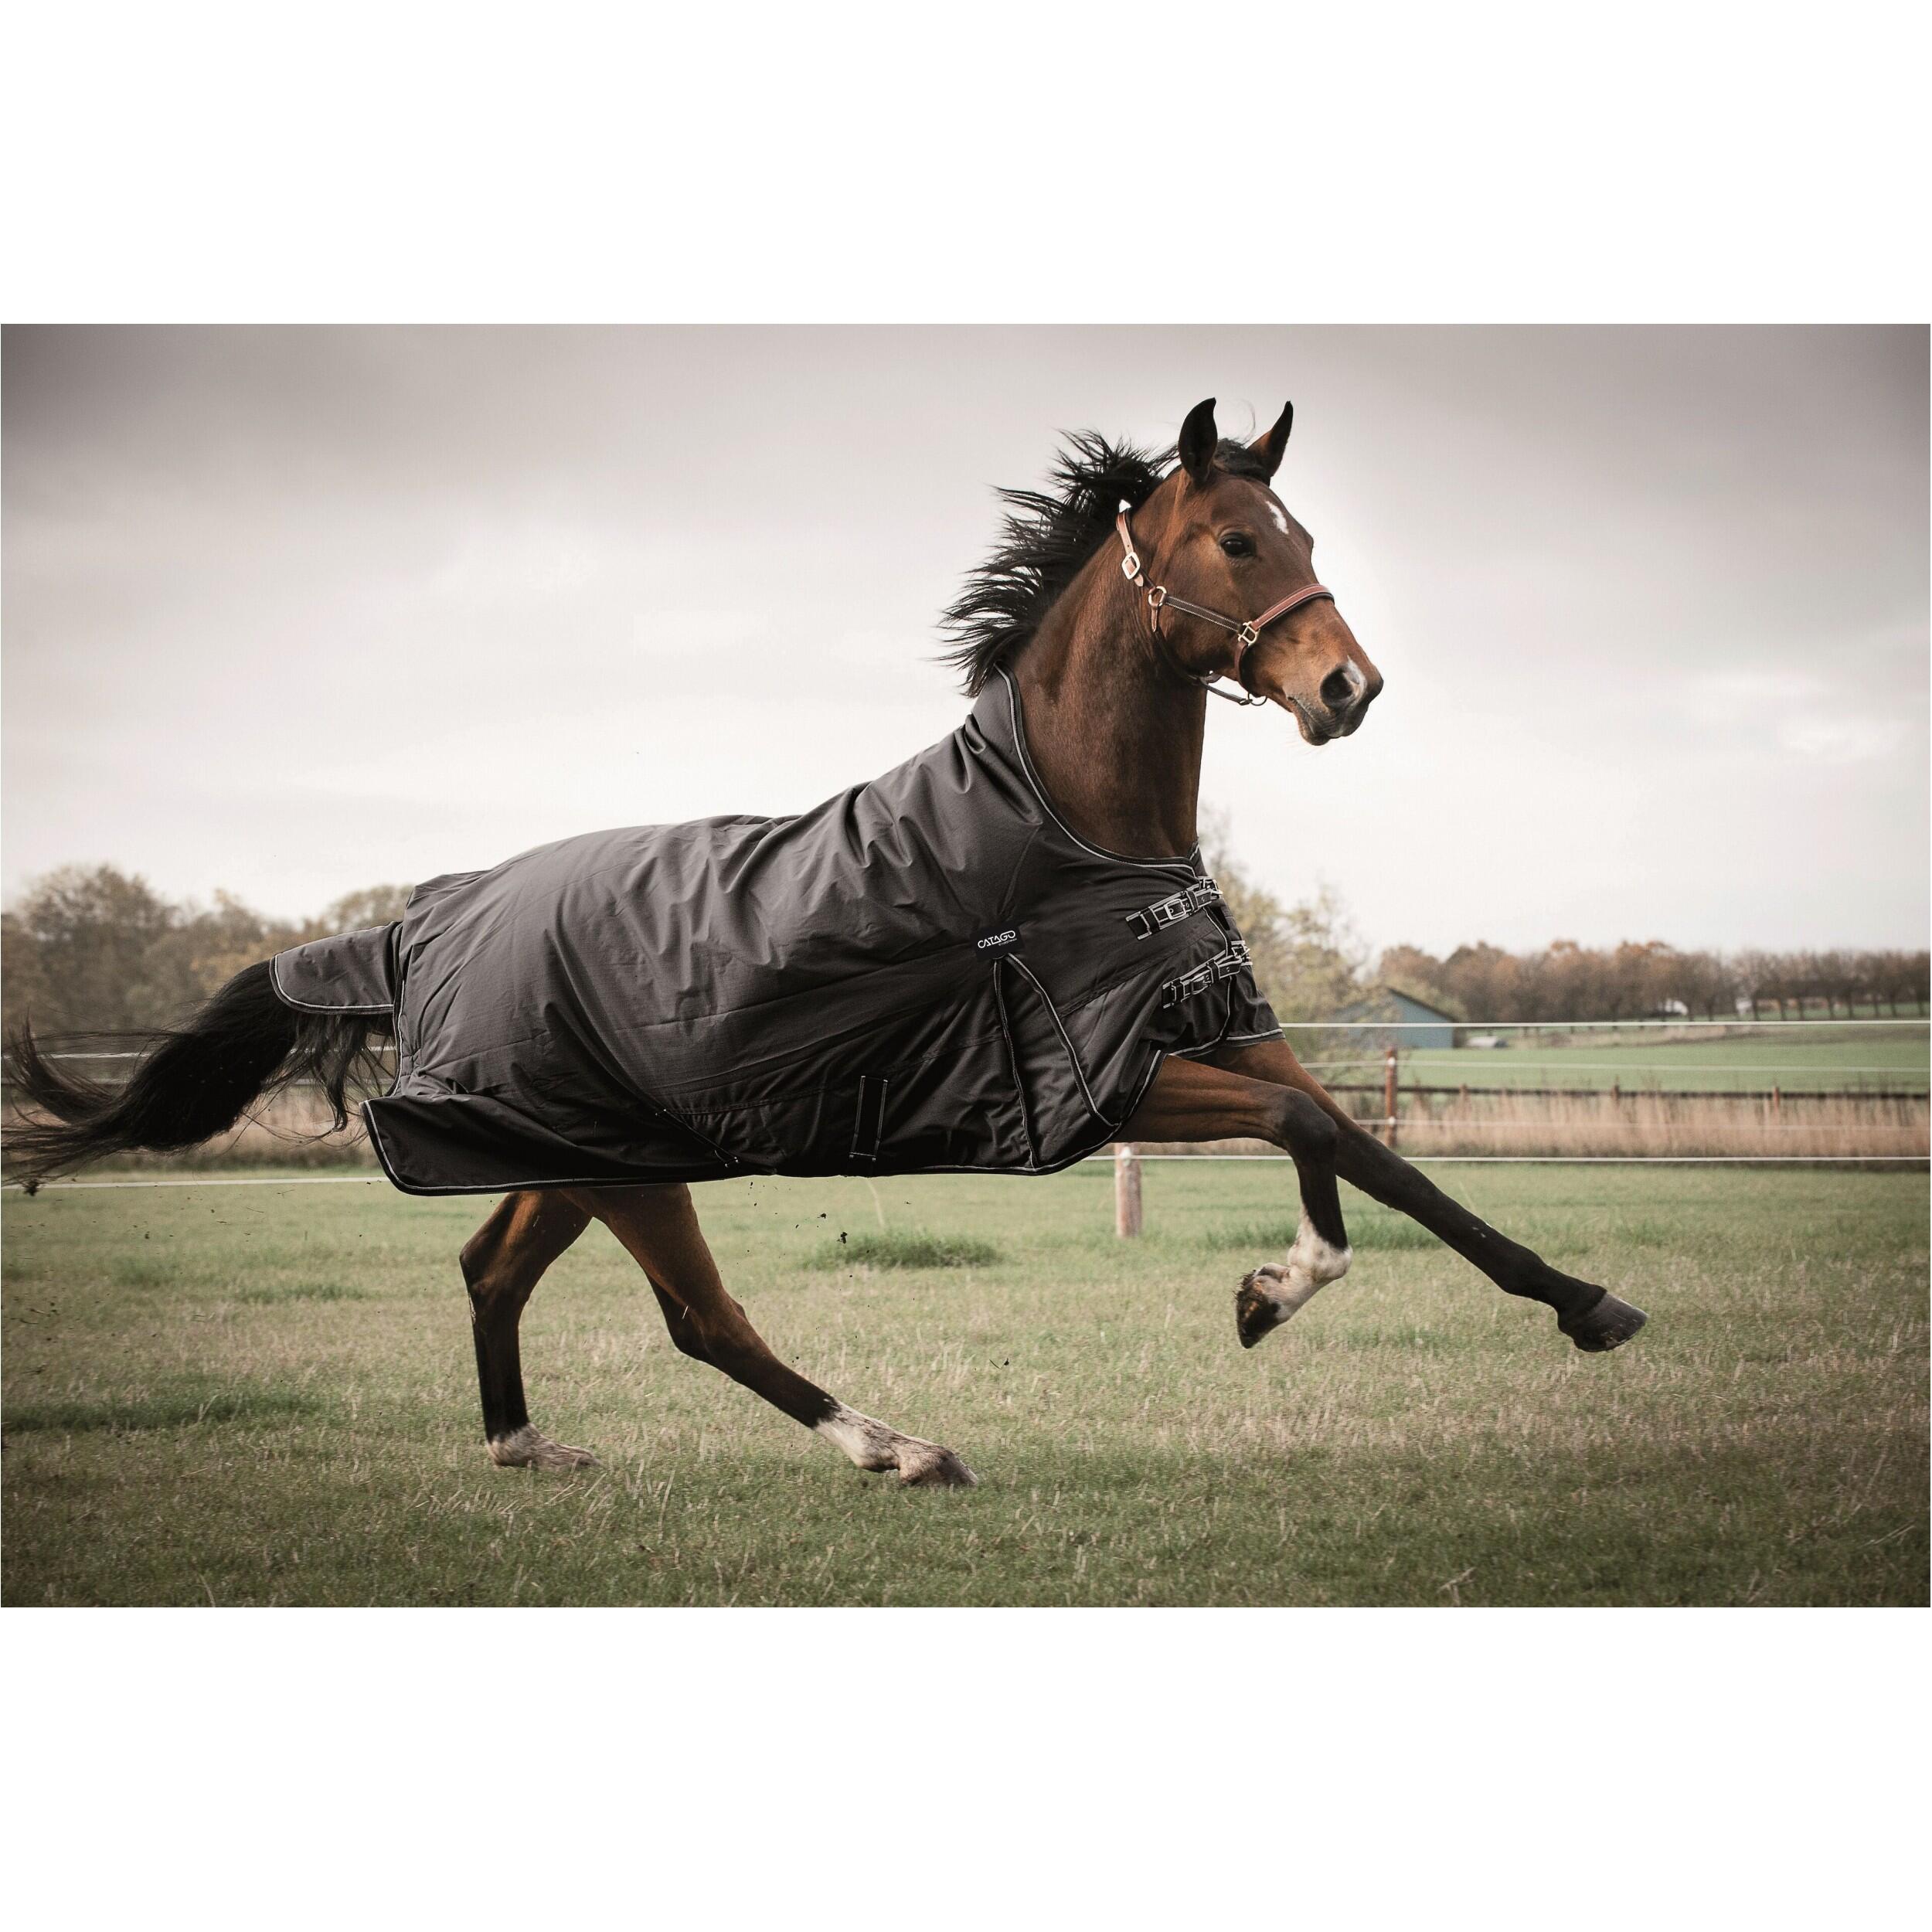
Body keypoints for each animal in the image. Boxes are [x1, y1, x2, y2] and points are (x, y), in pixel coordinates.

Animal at [4, 396, 1647, 1488]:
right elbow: (1319, 1138)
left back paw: (528, 1446)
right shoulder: (1112, 1076)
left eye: (1301, 532)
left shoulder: (1222, 1029)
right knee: (699, 1319)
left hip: (578, 1151)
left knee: (491, 1269)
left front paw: (1569, 1304)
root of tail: (421, 920)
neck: (1066, 826)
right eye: (1239, 539)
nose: (1346, 689)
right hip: (626, 1164)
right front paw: (1277, 1292)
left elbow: (1373, 1152)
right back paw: (899, 1448)